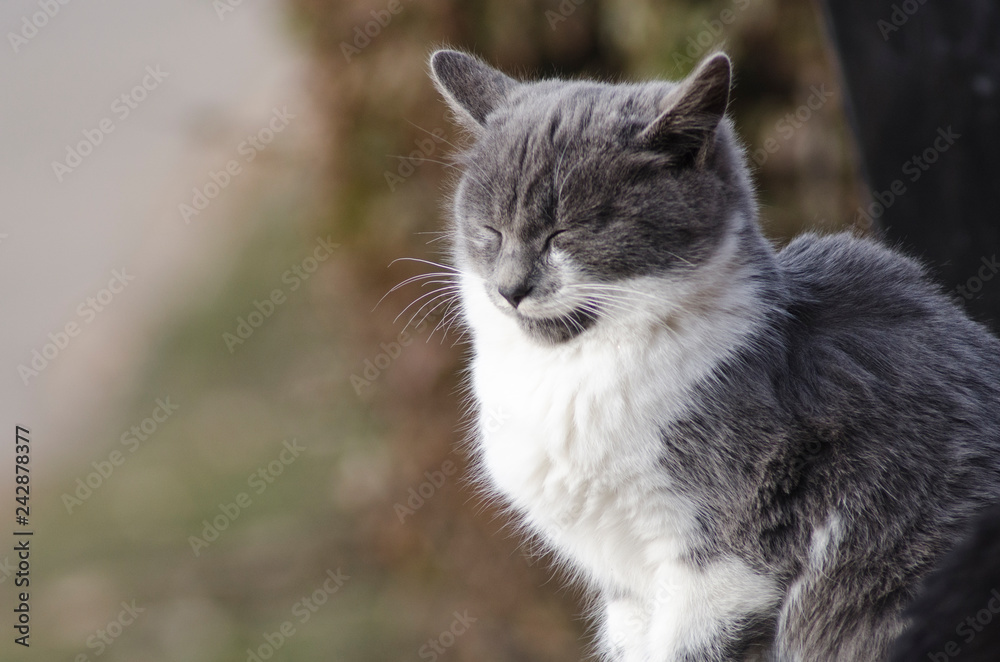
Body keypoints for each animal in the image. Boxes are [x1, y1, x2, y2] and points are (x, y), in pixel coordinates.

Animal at [426, 49, 1000, 660]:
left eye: (570, 232)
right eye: (489, 230)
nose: (510, 288)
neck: (573, 371)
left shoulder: (734, 557)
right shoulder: (626, 584)